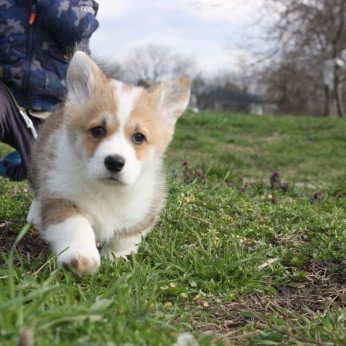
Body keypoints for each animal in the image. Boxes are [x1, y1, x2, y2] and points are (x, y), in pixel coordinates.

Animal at [28, 51, 191, 274]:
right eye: (98, 130)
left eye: (139, 137)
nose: (114, 162)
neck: (106, 190)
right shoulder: (60, 198)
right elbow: (75, 226)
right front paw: (82, 257)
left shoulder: (141, 213)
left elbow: (124, 240)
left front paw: (115, 260)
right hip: (37, 163)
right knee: (37, 191)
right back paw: (34, 215)